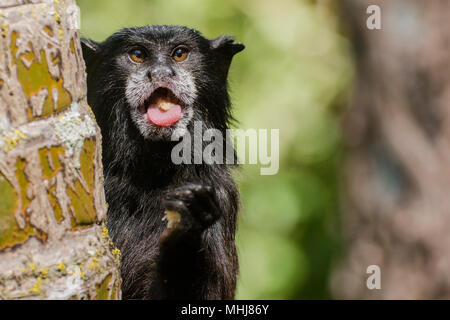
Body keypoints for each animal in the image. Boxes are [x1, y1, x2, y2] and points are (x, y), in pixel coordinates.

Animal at [80, 25, 243, 300]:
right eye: (137, 54)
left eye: (180, 53)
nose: (161, 73)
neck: (151, 174)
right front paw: (185, 231)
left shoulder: (220, 194)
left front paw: (187, 229)